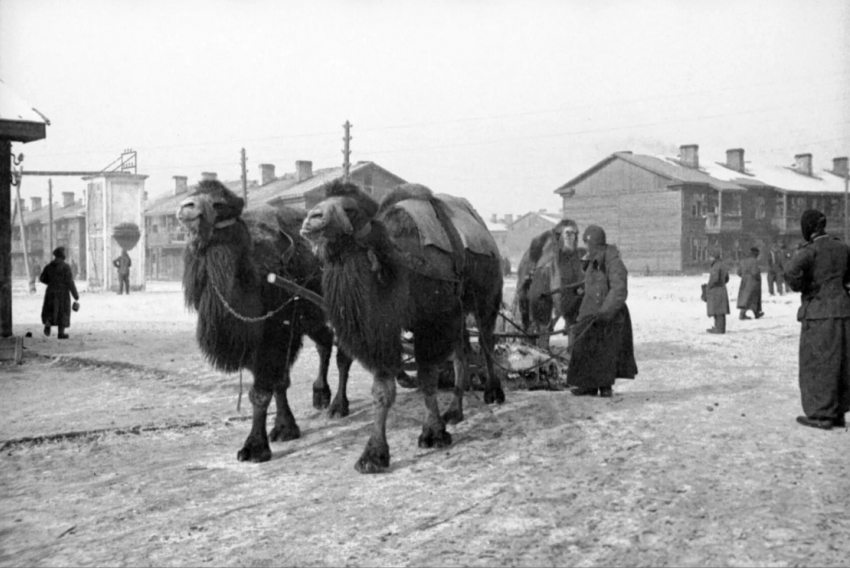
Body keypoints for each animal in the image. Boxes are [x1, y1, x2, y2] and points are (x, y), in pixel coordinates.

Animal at [177, 180, 352, 464]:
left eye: (219, 204)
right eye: (192, 194)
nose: (186, 207)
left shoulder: (277, 333)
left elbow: (263, 391)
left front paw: (255, 447)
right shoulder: (258, 340)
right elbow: (276, 383)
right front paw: (283, 429)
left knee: (343, 352)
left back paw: (338, 406)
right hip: (309, 316)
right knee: (324, 340)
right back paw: (320, 395)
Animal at [300, 182, 504, 474]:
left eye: (349, 208)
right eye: (320, 201)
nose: (312, 218)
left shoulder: (430, 322)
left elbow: (428, 378)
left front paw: (433, 434)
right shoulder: (384, 330)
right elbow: (382, 390)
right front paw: (373, 455)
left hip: (486, 297)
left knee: (486, 342)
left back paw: (493, 393)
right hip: (457, 314)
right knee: (463, 352)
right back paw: (454, 412)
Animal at [510, 220, 584, 348]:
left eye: (576, 232)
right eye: (558, 233)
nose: (569, 232)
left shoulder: (576, 300)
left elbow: (571, 325)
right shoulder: (541, 291)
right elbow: (543, 326)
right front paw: (543, 349)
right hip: (523, 293)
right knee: (527, 321)